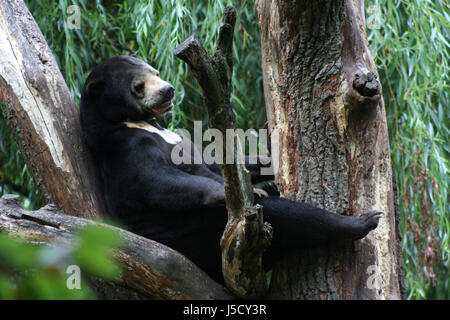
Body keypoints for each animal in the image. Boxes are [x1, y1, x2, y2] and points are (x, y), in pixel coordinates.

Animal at [79, 55, 382, 282]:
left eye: (156, 71)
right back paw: (362, 222)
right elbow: (154, 179)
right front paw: (235, 193)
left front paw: (268, 166)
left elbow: (218, 161)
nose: (168, 90)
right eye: (138, 86)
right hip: (202, 236)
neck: (139, 123)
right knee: (286, 215)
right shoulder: (124, 149)